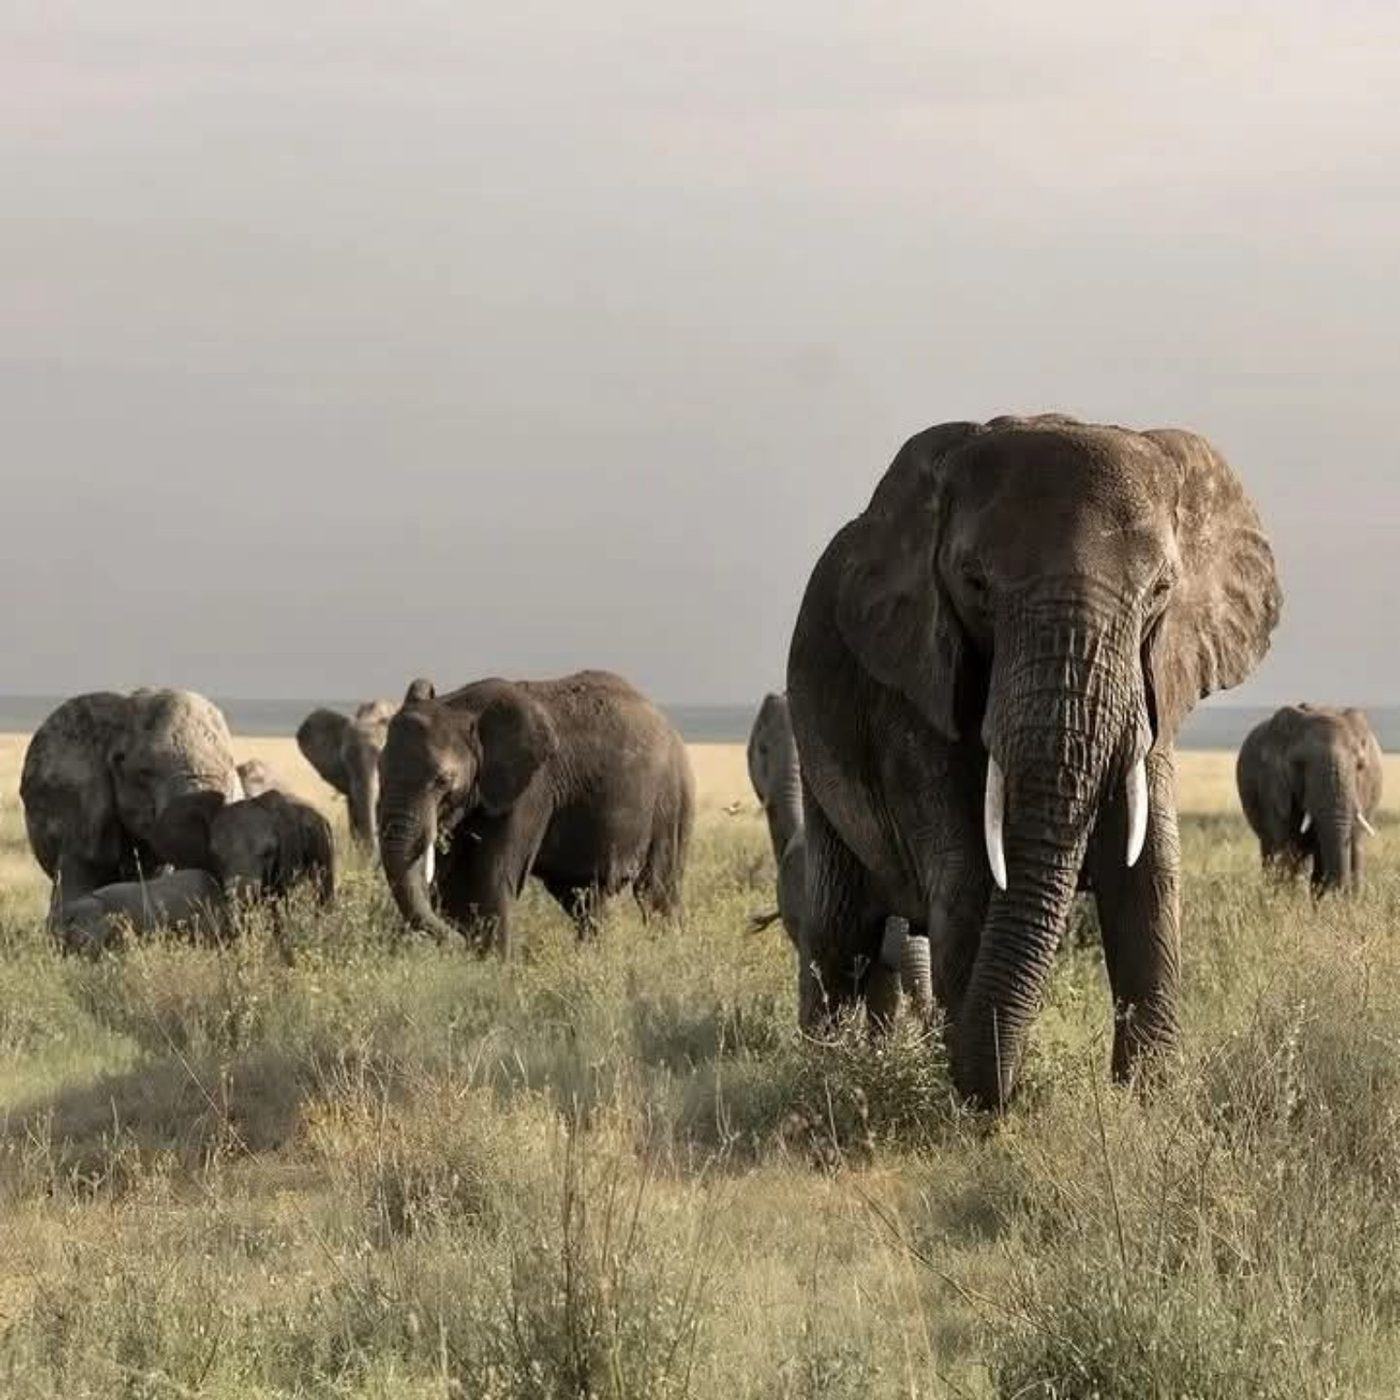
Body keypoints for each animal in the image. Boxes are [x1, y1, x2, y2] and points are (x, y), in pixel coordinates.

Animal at [377, 671, 694, 952]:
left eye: (443, 780)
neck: (460, 707)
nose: (455, 941)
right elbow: (454, 885)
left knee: (656, 891)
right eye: (379, 770)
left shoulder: (532, 788)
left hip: (672, 798)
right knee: (586, 899)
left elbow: (492, 878)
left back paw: (668, 952)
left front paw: (494, 968)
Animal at [787, 415, 1280, 1109]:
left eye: (1161, 590)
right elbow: (968, 881)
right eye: (974, 585)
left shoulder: (1155, 683)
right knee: (838, 937)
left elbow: (1149, 875)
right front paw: (982, 1113)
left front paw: (1146, 1106)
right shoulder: (914, 688)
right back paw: (824, 1075)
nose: (1009, 1094)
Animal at [1237, 705, 1383, 892]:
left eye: (1360, 766)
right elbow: (1288, 848)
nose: (1340, 891)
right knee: (1275, 852)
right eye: (1300, 764)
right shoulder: (1272, 783)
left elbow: (1354, 843)